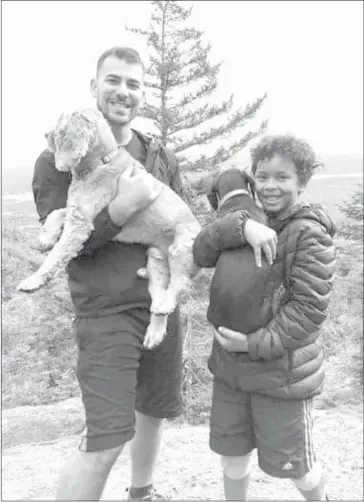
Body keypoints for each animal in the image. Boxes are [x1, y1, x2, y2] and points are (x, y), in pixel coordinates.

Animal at [17, 108, 202, 348]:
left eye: (60, 126)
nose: (45, 134)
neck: (99, 163)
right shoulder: (78, 212)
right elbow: (56, 212)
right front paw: (46, 237)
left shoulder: (80, 223)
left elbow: (56, 254)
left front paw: (33, 280)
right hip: (157, 261)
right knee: (159, 295)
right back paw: (155, 331)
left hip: (180, 250)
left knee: (181, 283)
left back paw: (166, 305)